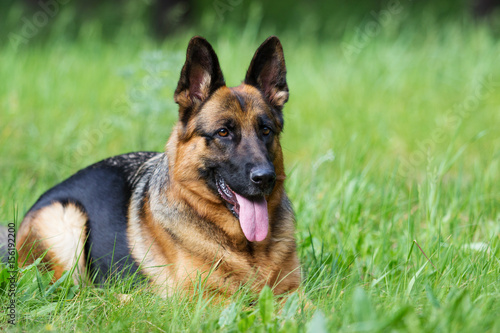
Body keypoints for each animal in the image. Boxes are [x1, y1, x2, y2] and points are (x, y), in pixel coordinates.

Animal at [15, 36, 298, 296]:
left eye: (265, 130)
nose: (265, 178)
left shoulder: (294, 294)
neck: (249, 249)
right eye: (223, 132)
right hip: (66, 220)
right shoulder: (206, 299)